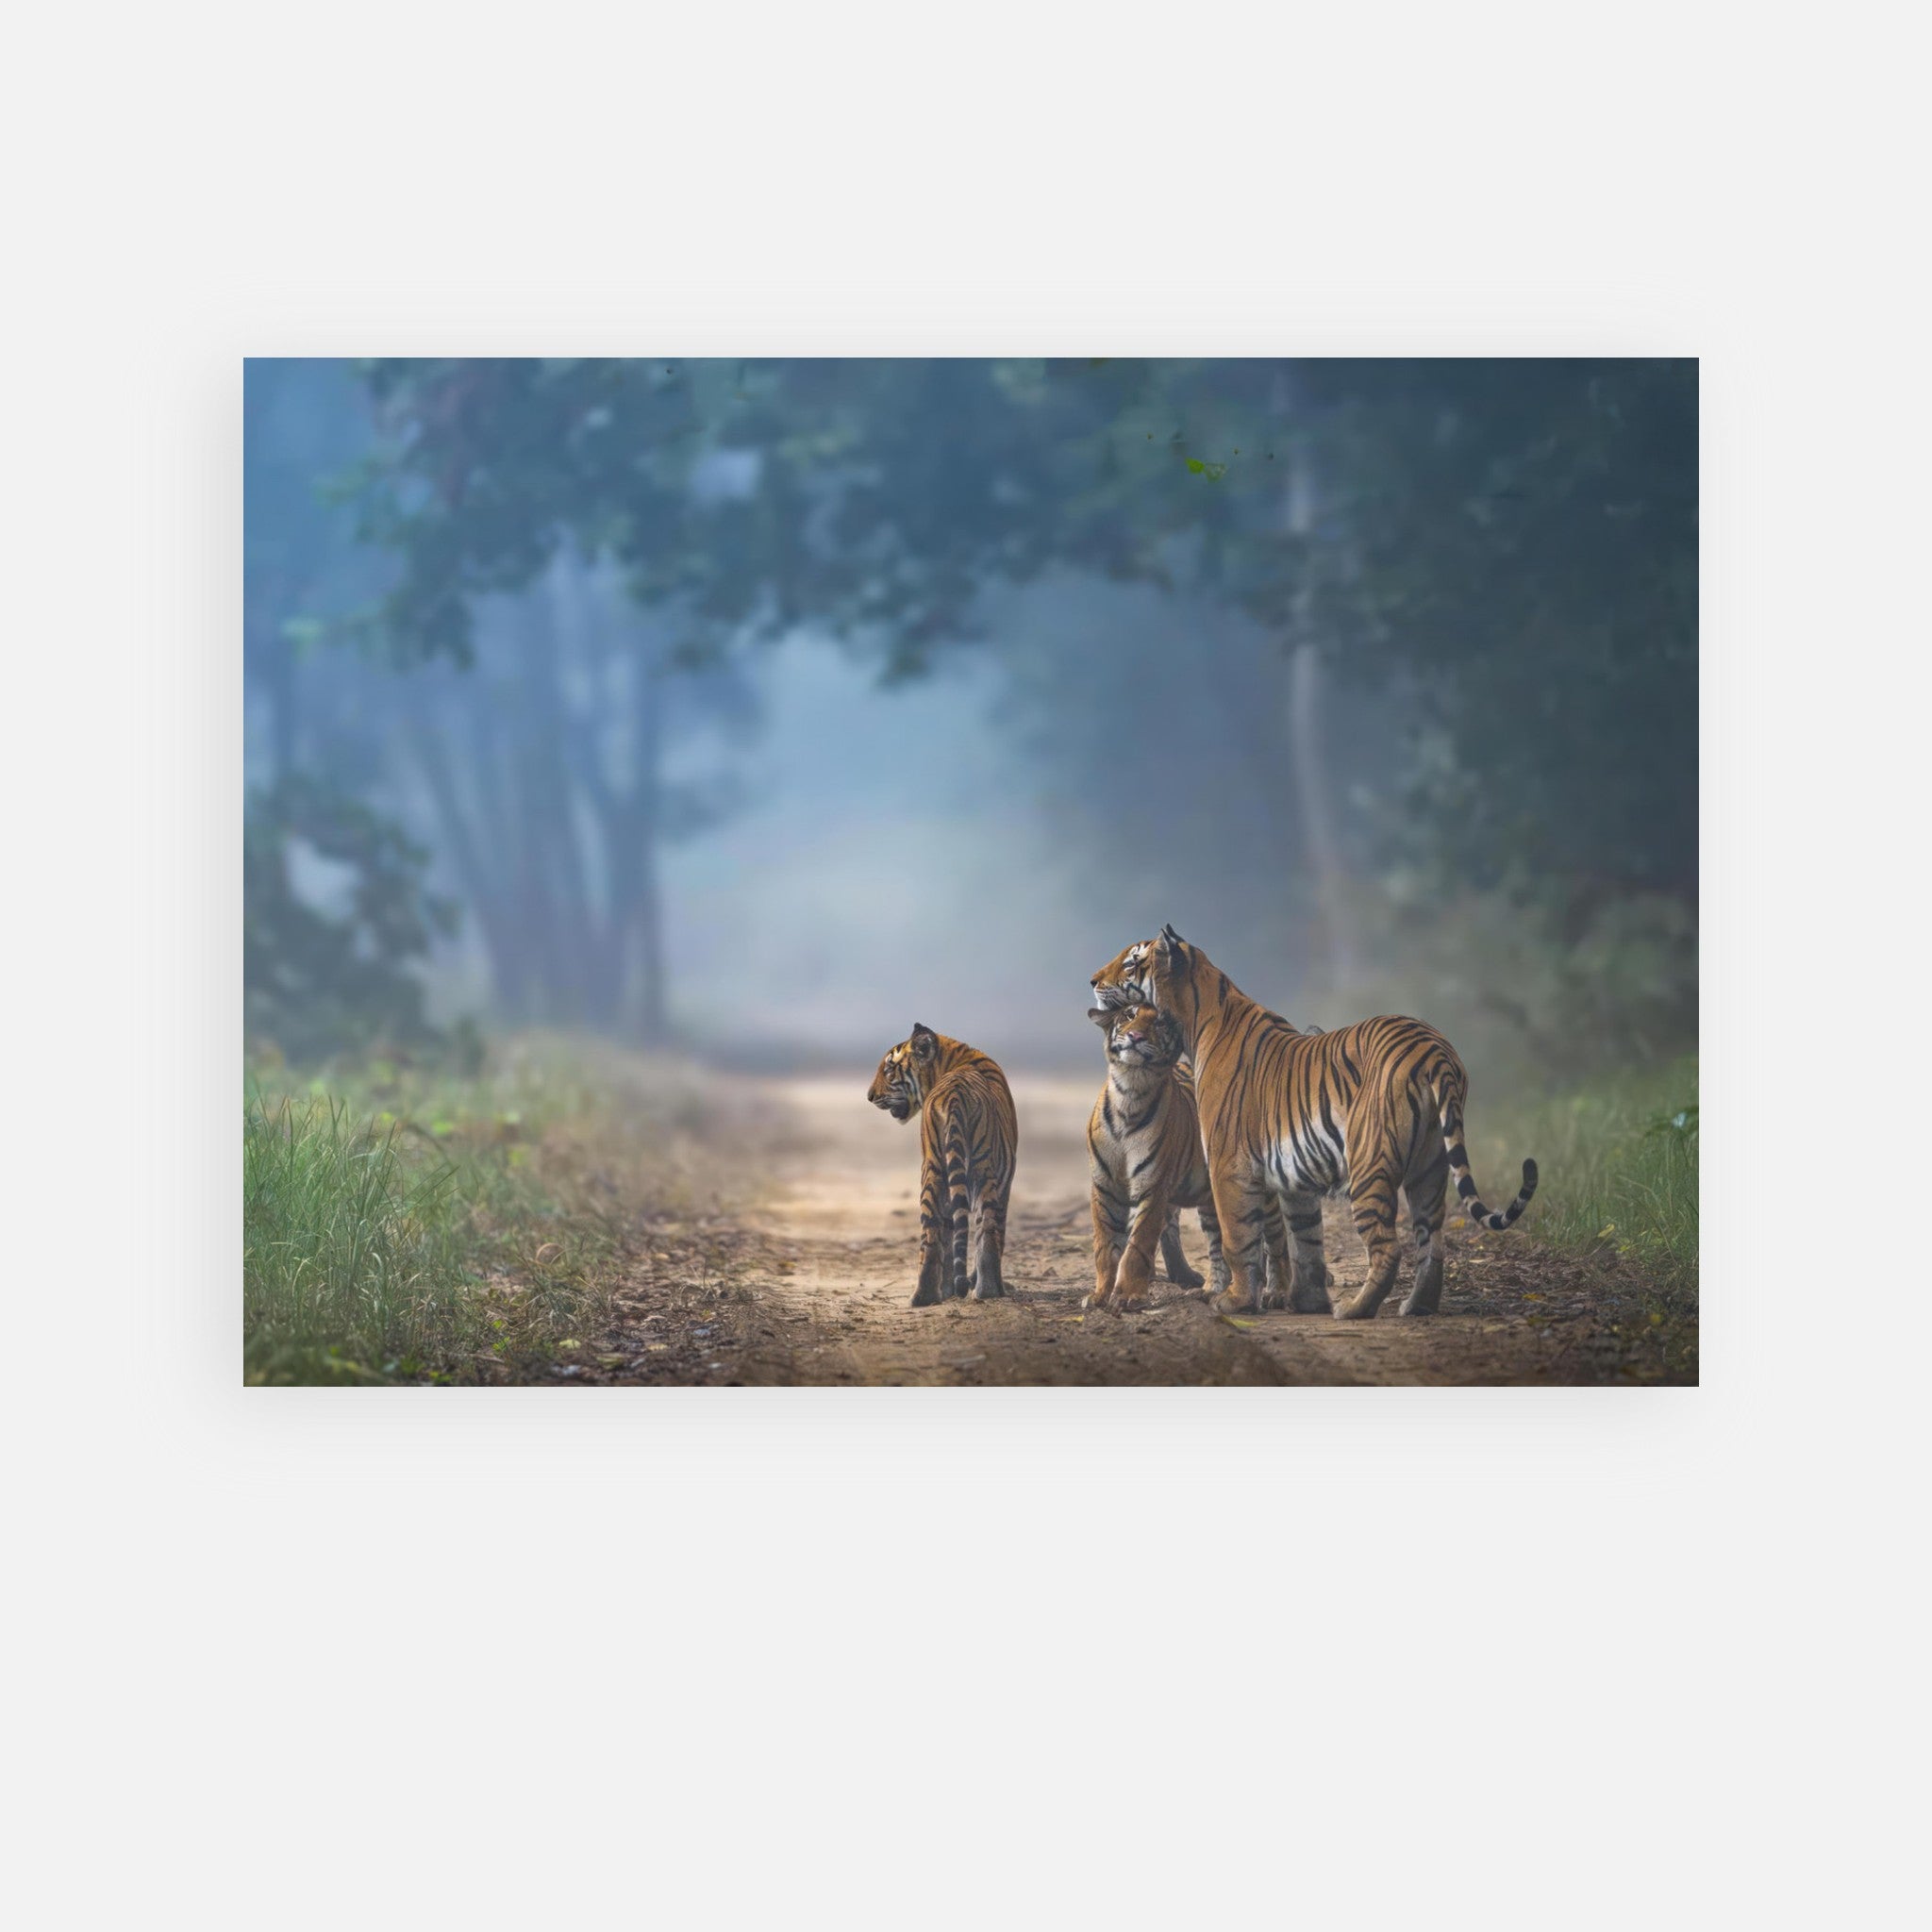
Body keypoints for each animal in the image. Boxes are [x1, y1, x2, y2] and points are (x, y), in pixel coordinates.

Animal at [866, 1021, 1018, 1306]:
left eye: (889, 1070)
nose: (869, 1096)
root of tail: (955, 1094)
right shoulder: (1006, 1181)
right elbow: (996, 1233)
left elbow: (950, 1234)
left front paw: (949, 1289)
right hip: (981, 1168)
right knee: (986, 1230)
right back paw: (989, 1290)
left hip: (934, 1170)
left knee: (932, 1234)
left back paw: (924, 1297)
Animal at [1084, 1001, 1291, 1311]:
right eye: (1129, 1015)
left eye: (1159, 1023)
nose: (1135, 1036)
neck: (1130, 1091)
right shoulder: (1105, 1187)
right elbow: (1106, 1246)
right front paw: (1100, 1295)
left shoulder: (1153, 1187)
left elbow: (1138, 1245)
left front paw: (1128, 1296)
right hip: (1210, 1198)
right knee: (1217, 1244)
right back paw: (1210, 1290)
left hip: (1261, 1191)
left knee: (1276, 1238)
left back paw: (1276, 1292)